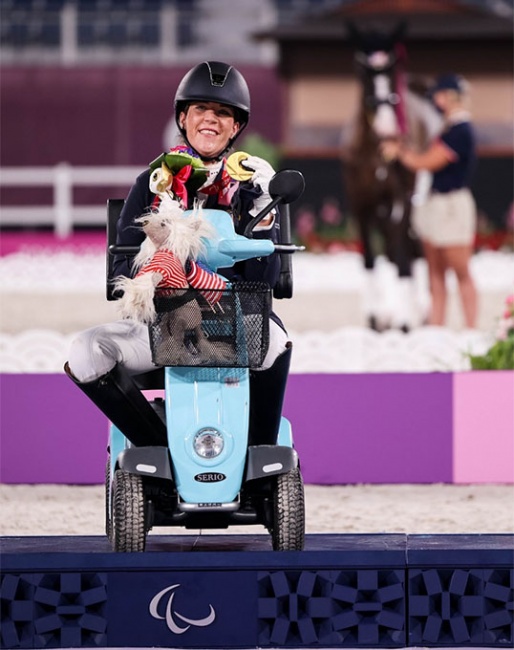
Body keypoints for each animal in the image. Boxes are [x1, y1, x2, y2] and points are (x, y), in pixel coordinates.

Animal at [340, 22, 440, 330]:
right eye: (361, 69)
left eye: (392, 70)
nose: (387, 129)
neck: (375, 153)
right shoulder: (360, 205)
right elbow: (370, 259)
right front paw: (375, 319)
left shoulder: (400, 203)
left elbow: (403, 260)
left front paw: (405, 322)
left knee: (412, 251)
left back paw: (419, 312)